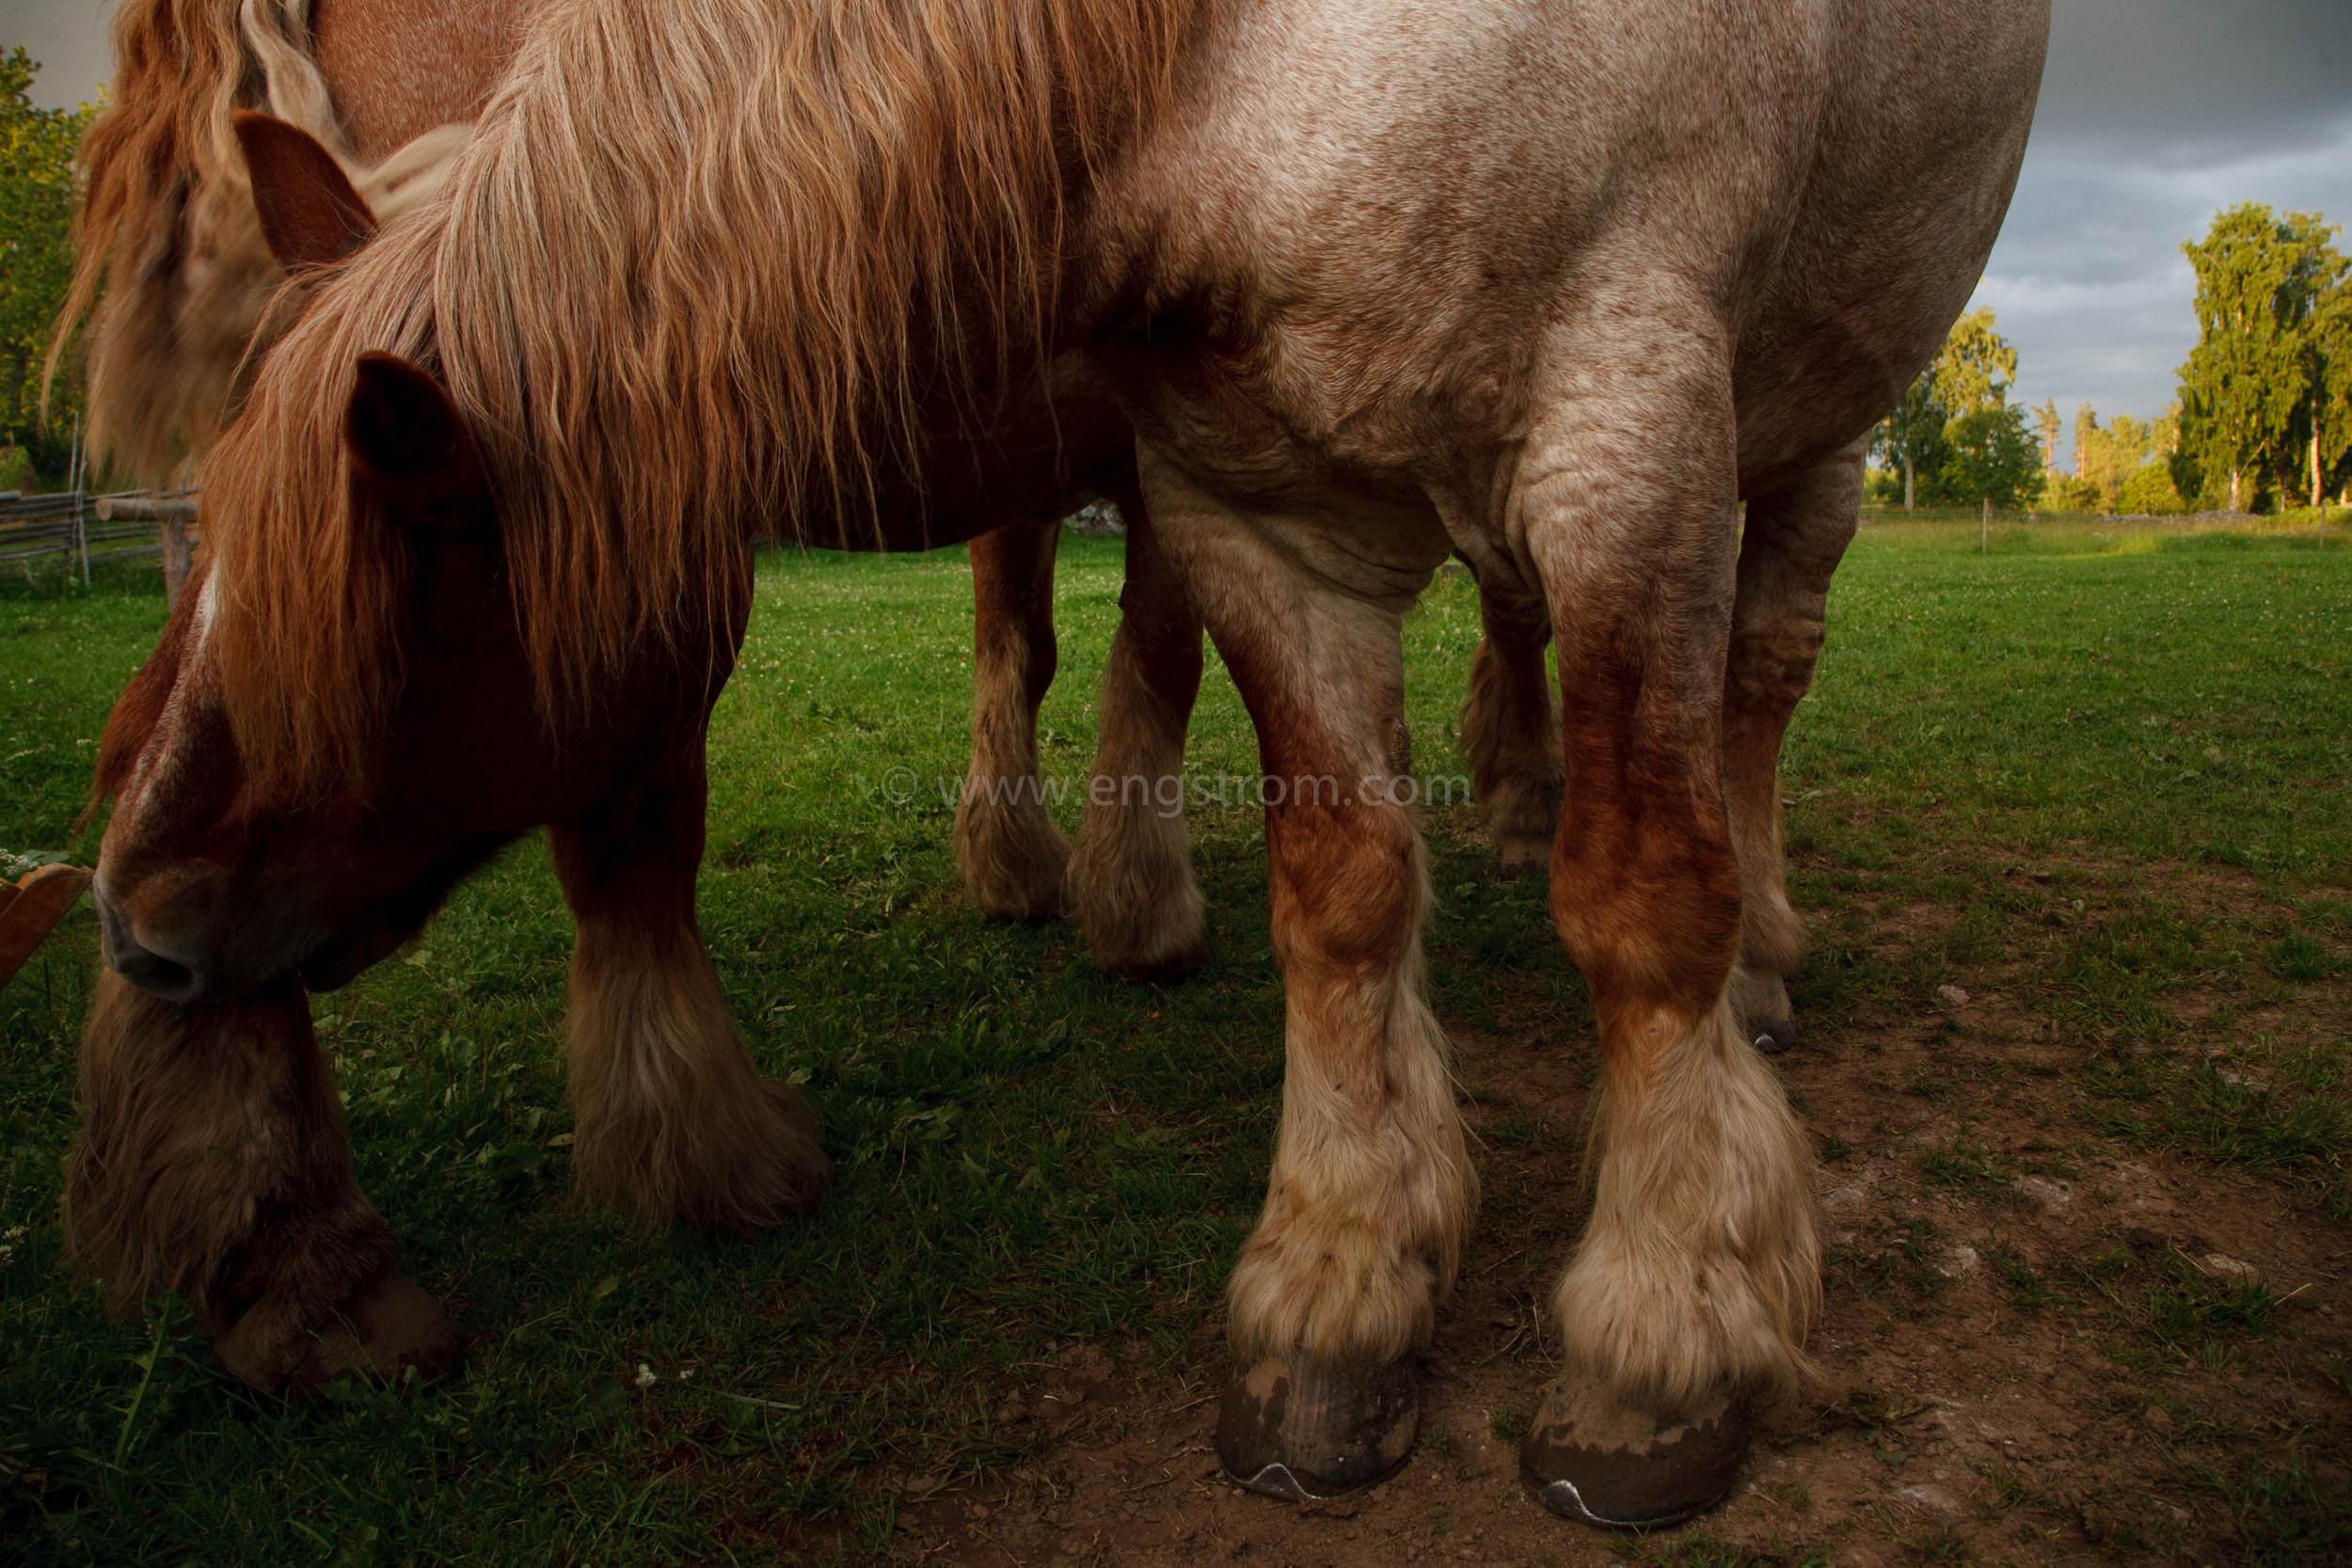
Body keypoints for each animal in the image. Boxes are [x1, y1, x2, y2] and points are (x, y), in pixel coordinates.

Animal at [69, 0, 2042, 1532]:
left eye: (374, 635)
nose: (141, 930)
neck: (1259, 64)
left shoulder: (1625, 441)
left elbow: (1641, 909)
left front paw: (1665, 1336)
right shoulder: (1255, 500)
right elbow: (1336, 896)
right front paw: (1337, 1295)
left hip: (1813, 419)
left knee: (1758, 702)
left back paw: (1762, 958)